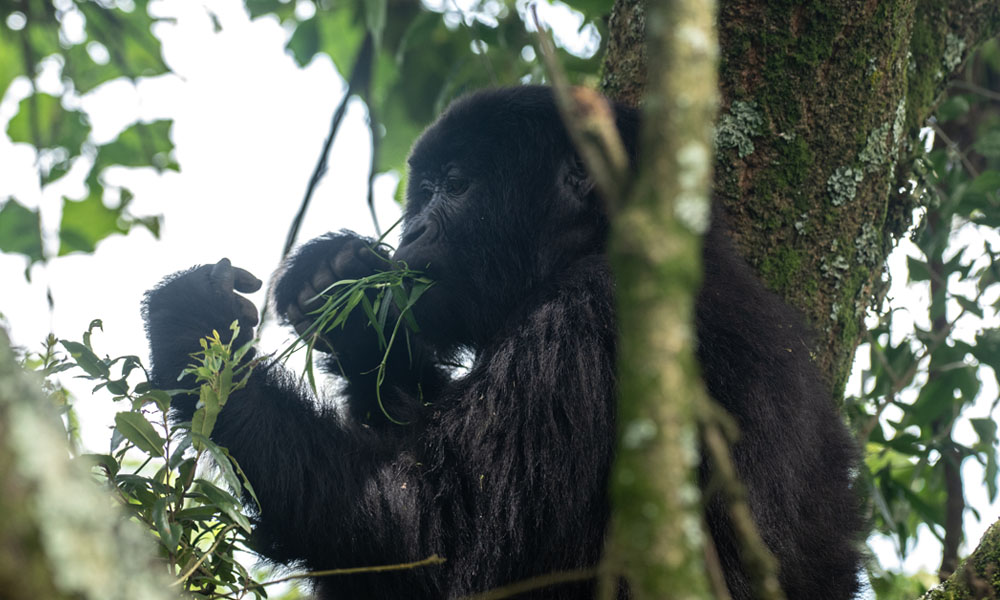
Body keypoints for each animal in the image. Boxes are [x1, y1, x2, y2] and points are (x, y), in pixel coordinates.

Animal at [145, 85, 864, 600]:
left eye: (456, 185)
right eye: (422, 192)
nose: (413, 232)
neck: (597, 238)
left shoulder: (589, 322)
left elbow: (432, 536)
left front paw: (192, 338)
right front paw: (347, 295)